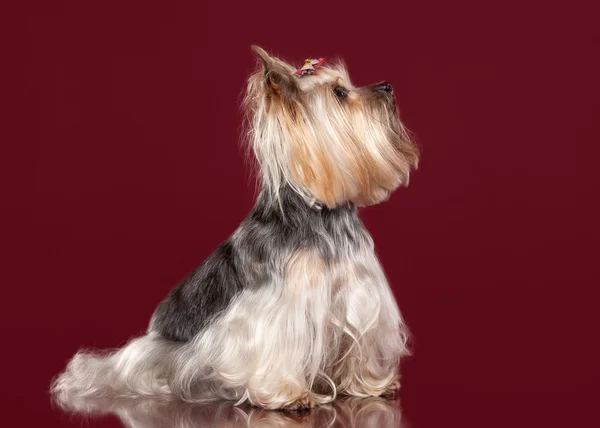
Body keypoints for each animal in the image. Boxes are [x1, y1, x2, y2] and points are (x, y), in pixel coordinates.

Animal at [50, 46, 418, 412]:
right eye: (340, 93)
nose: (387, 86)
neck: (323, 212)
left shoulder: (361, 294)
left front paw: (370, 384)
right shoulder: (276, 310)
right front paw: (289, 393)